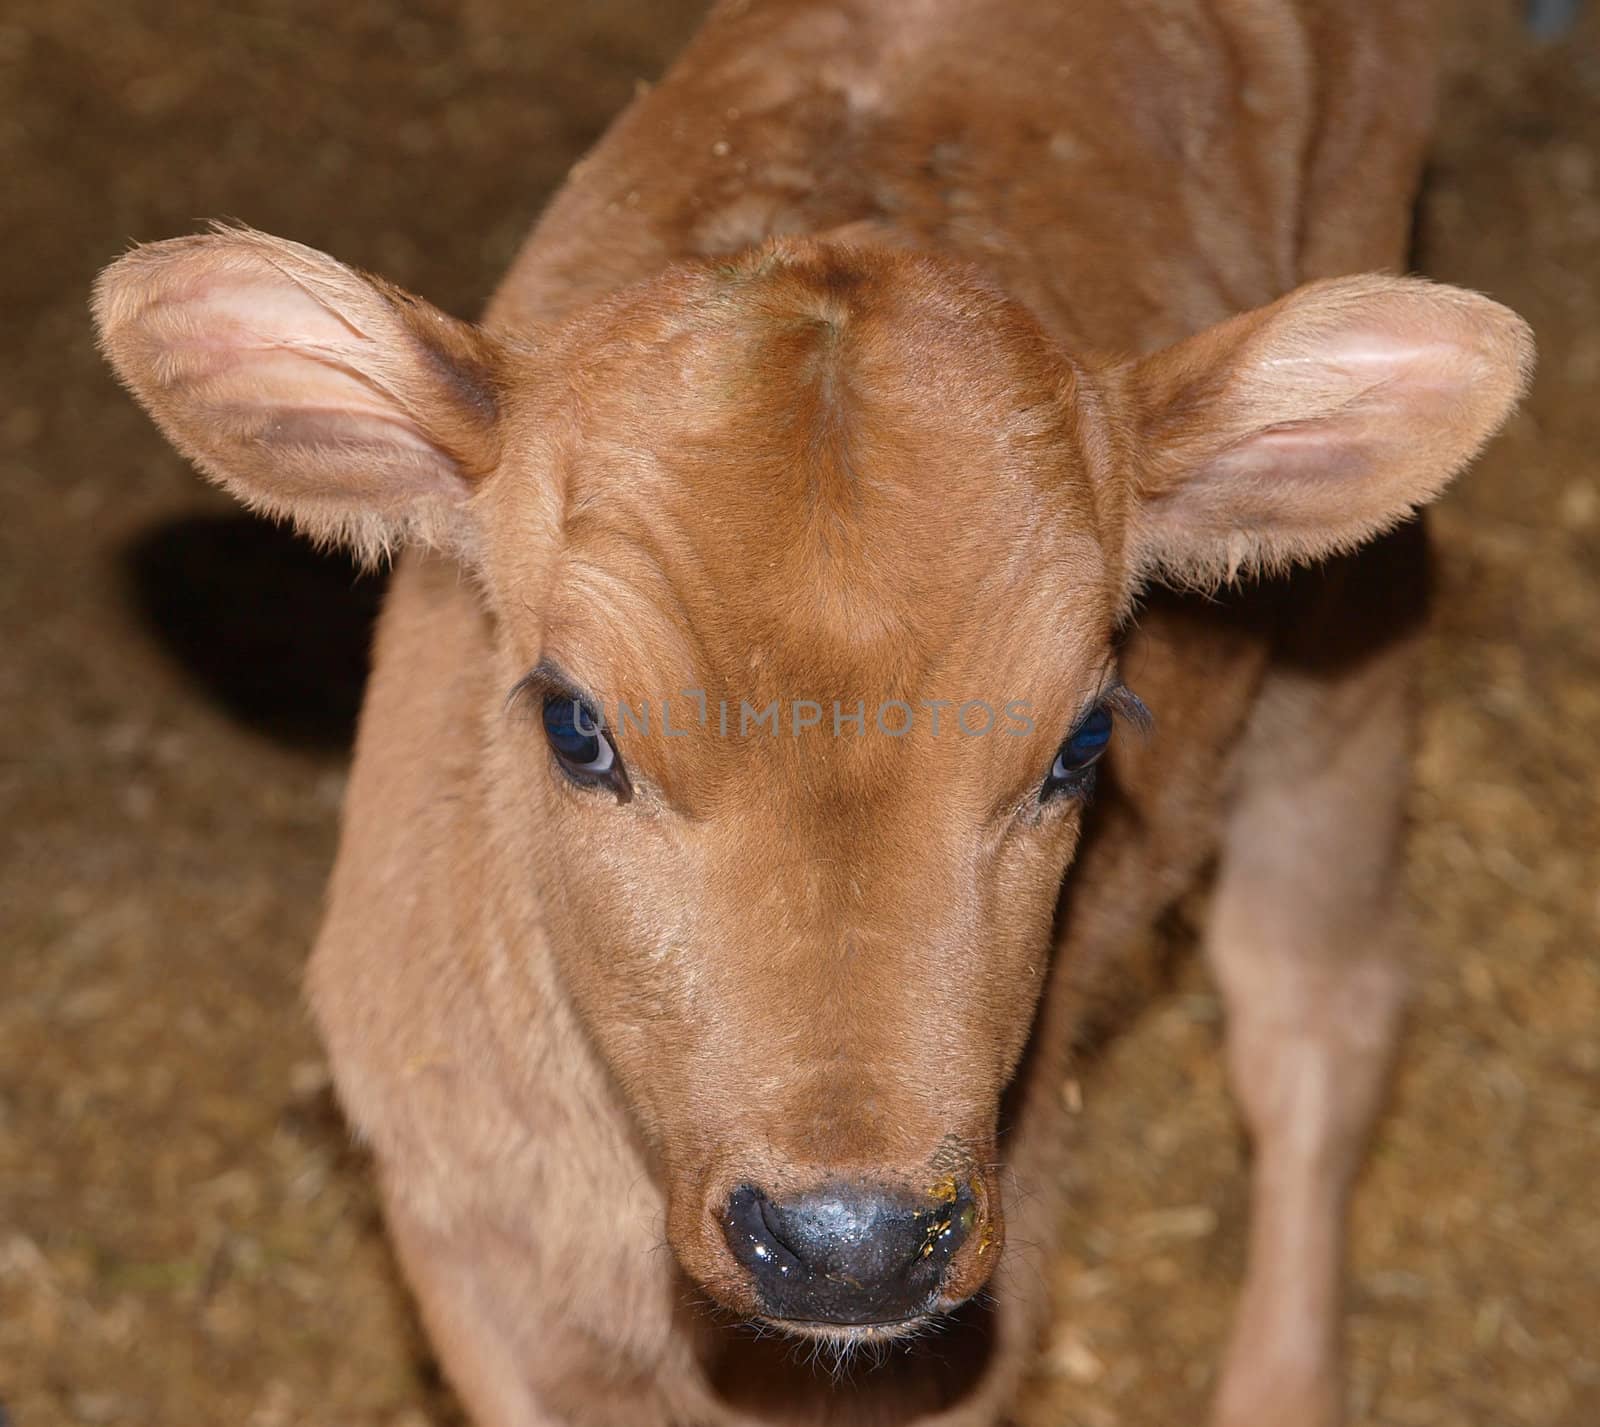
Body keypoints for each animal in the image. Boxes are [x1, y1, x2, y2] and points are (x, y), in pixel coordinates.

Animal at [93, 2, 1529, 1427]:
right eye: (575, 726)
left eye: (1081, 741)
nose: (852, 1239)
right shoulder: (471, 1250)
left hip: (1349, 612)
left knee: (1312, 1013)